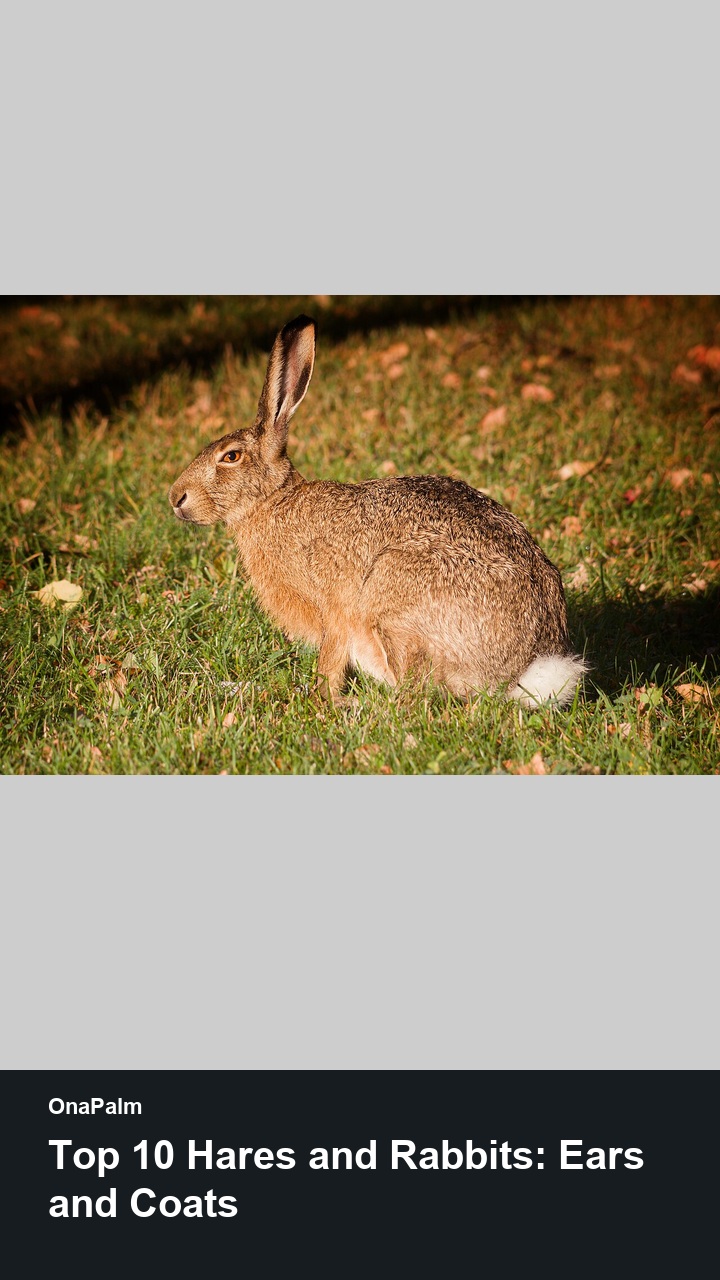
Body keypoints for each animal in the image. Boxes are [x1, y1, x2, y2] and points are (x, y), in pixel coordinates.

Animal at [168, 315, 587, 707]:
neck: (272, 501)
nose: (176, 498)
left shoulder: (335, 609)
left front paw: (324, 699)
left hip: (392, 597)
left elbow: (330, 661)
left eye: (231, 457)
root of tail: (523, 669)